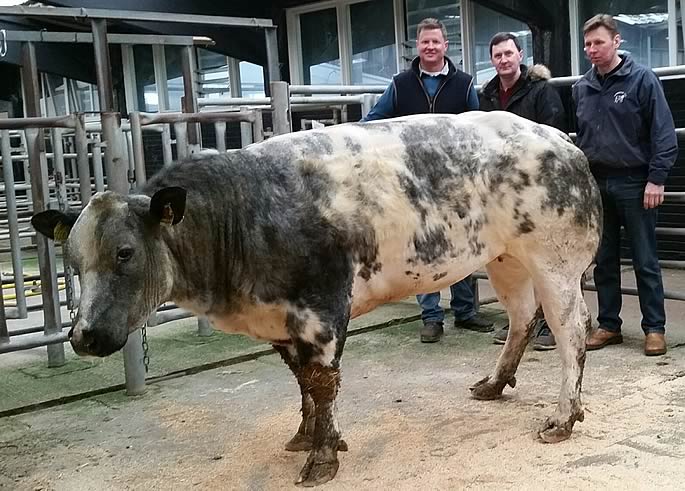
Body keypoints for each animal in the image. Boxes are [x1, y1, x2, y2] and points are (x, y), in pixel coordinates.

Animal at [33, 112, 600, 488]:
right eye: (73, 262)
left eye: (125, 253)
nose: (84, 336)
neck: (243, 214)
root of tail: (558, 137)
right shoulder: (281, 321)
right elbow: (301, 380)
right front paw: (305, 435)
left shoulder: (323, 311)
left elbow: (323, 383)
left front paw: (324, 455)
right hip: (505, 258)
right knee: (522, 316)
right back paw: (495, 383)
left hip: (557, 261)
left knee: (569, 330)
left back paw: (563, 417)